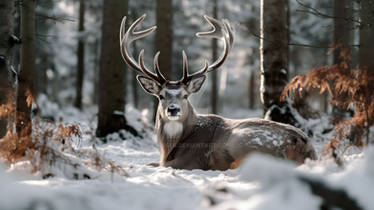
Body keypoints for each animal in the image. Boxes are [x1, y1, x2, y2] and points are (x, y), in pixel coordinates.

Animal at [119, 13, 316, 170]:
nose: (173, 109)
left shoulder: (191, 159)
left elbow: (153, 164)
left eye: (185, 96)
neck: (170, 147)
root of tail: (303, 144)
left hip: (243, 140)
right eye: (161, 96)